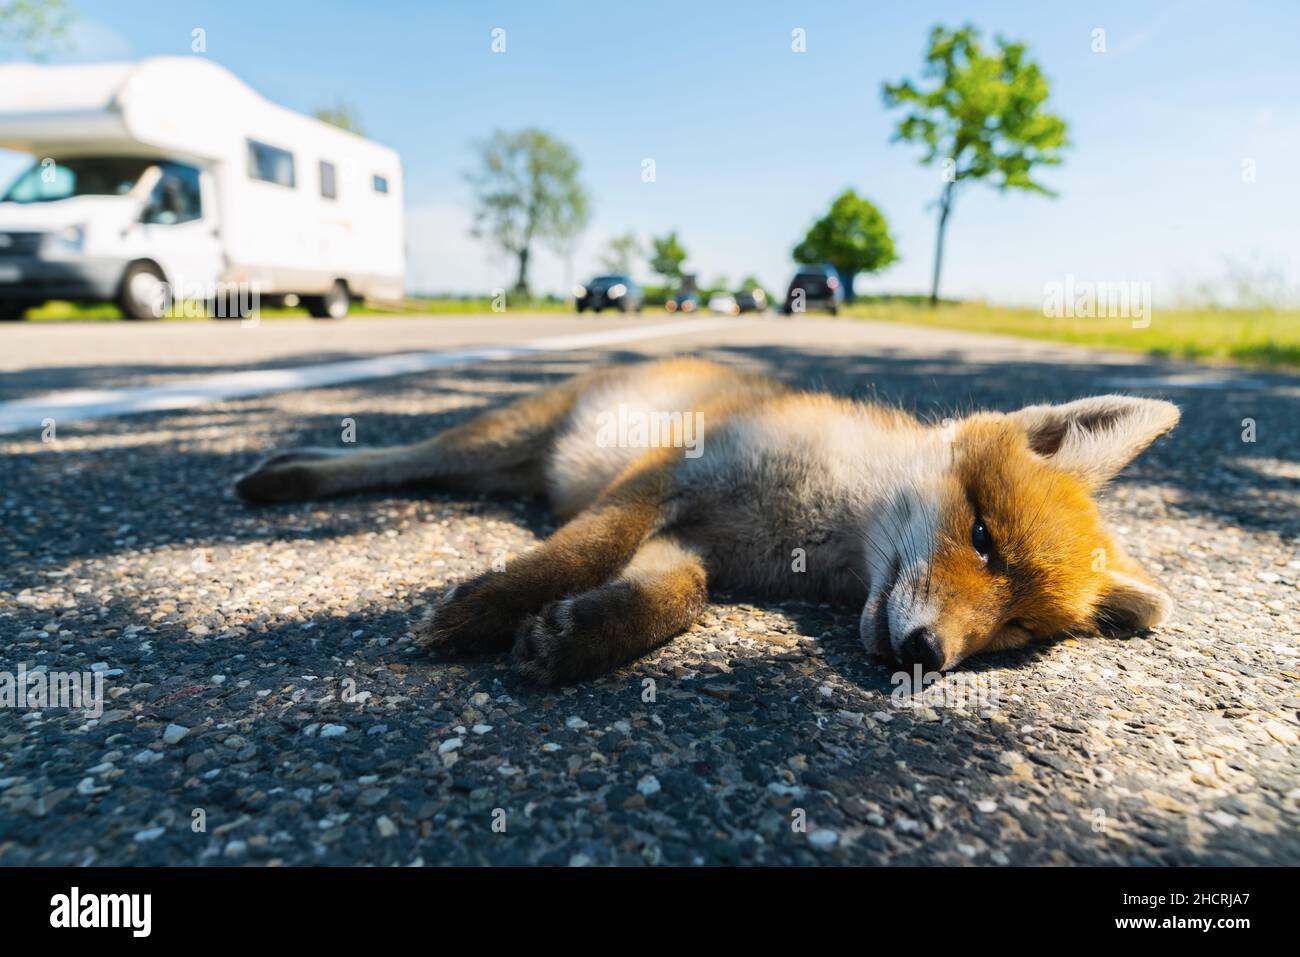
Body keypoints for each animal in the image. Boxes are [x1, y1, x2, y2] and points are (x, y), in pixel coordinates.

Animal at [233, 357, 1180, 686]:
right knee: (403, 457)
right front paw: (481, 611)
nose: (927, 654)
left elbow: (673, 599)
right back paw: (288, 476)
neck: (815, 521)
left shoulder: (694, 545)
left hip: (508, 466)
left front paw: (575, 639)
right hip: (506, 434)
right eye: (982, 537)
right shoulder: (668, 476)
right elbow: (582, 549)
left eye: (1016, 630)